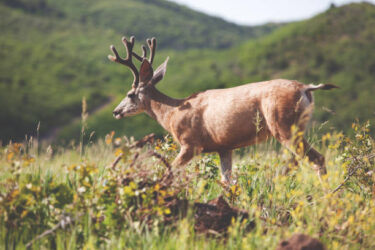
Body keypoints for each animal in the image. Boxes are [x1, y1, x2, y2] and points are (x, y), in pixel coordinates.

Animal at [108, 35, 338, 184]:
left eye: (130, 94)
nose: (115, 112)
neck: (172, 112)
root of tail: (306, 87)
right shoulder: (224, 146)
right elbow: (227, 181)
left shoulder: (190, 144)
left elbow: (170, 172)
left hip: (284, 126)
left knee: (315, 159)